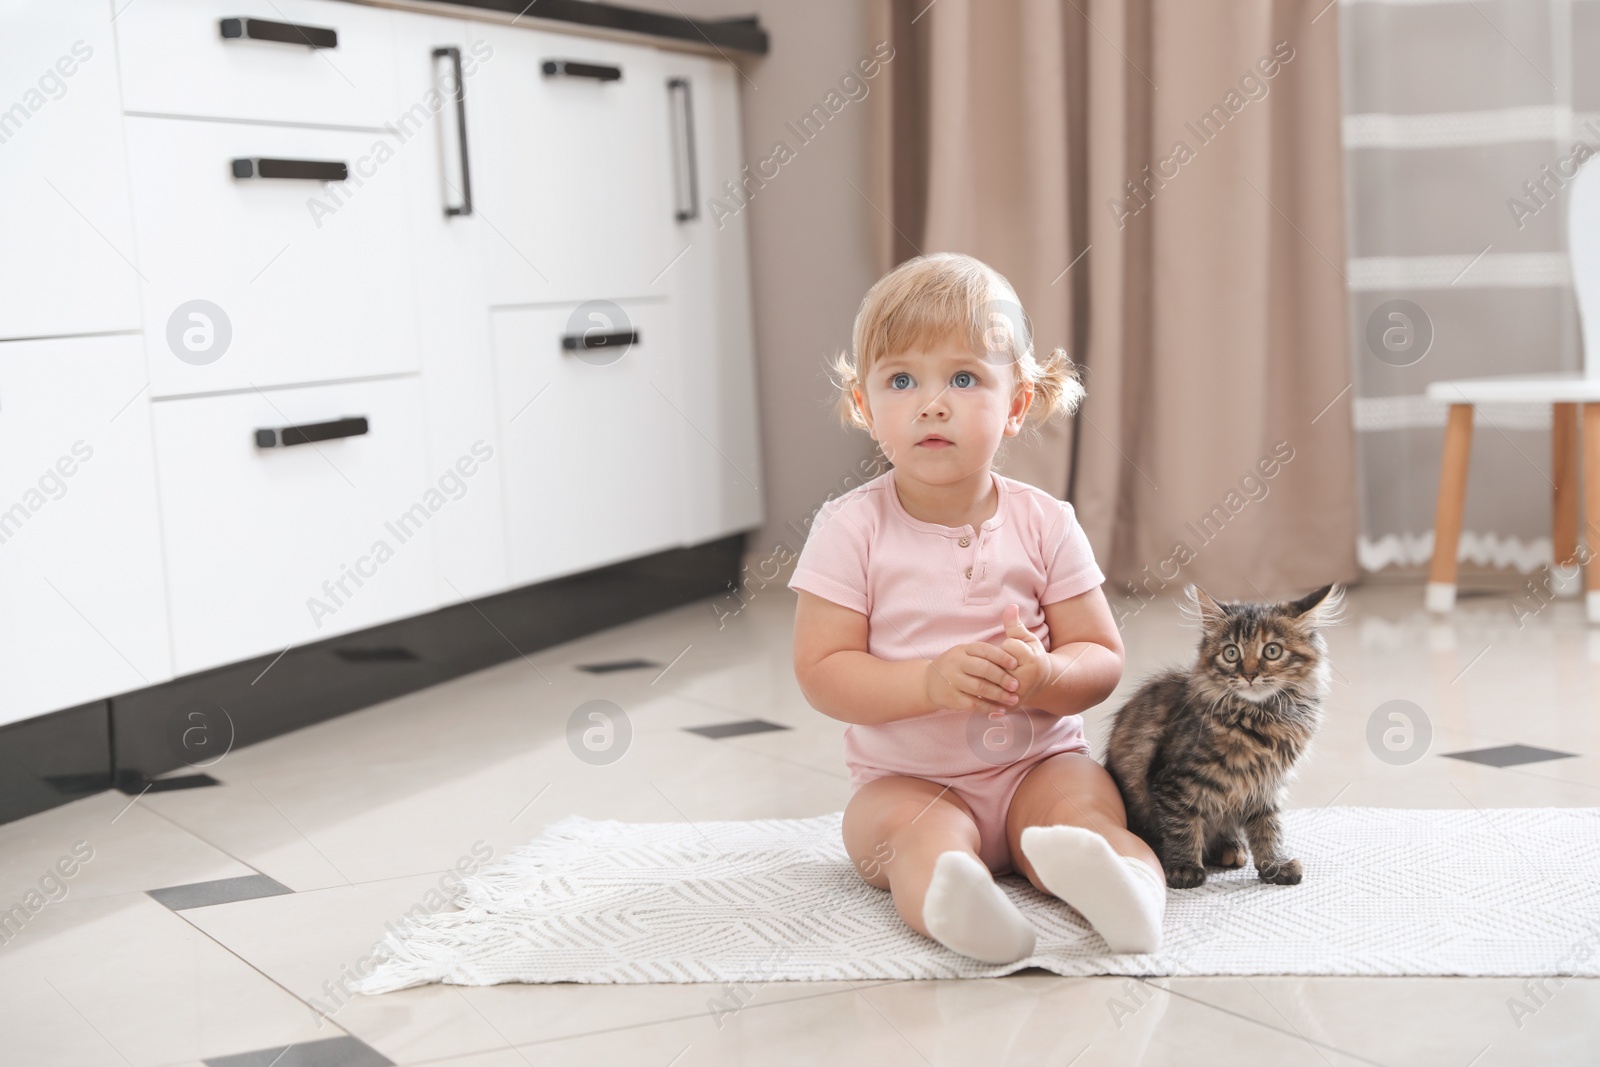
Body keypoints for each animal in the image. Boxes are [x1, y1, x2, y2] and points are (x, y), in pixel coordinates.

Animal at [1107, 585, 1344, 895]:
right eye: (1231, 653)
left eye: (1272, 650)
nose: (1250, 674)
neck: (1261, 721)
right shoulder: (1173, 783)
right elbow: (1182, 826)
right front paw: (1185, 867)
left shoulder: (1265, 786)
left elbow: (1269, 828)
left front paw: (1274, 865)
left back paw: (1231, 848)